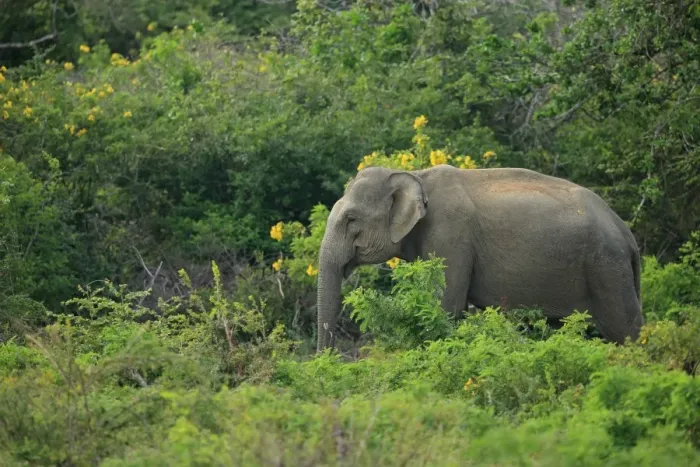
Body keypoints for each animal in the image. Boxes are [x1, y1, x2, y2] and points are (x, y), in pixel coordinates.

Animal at [316, 164, 644, 351]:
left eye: (351, 219)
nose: (326, 359)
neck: (416, 175)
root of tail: (628, 236)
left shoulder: (450, 236)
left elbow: (445, 308)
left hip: (606, 267)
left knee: (624, 330)